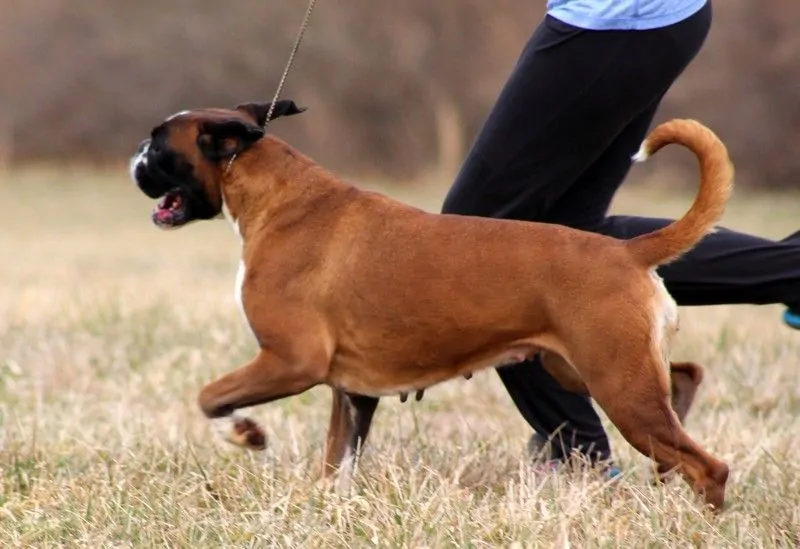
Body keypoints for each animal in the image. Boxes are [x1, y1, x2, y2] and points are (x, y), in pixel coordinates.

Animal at [128, 99, 736, 510]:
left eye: (158, 145)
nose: (135, 157)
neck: (277, 197)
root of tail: (626, 250)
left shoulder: (290, 361)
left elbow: (210, 398)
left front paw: (245, 432)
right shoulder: (350, 392)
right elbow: (335, 462)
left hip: (617, 387)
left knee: (710, 468)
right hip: (590, 372)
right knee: (684, 379)